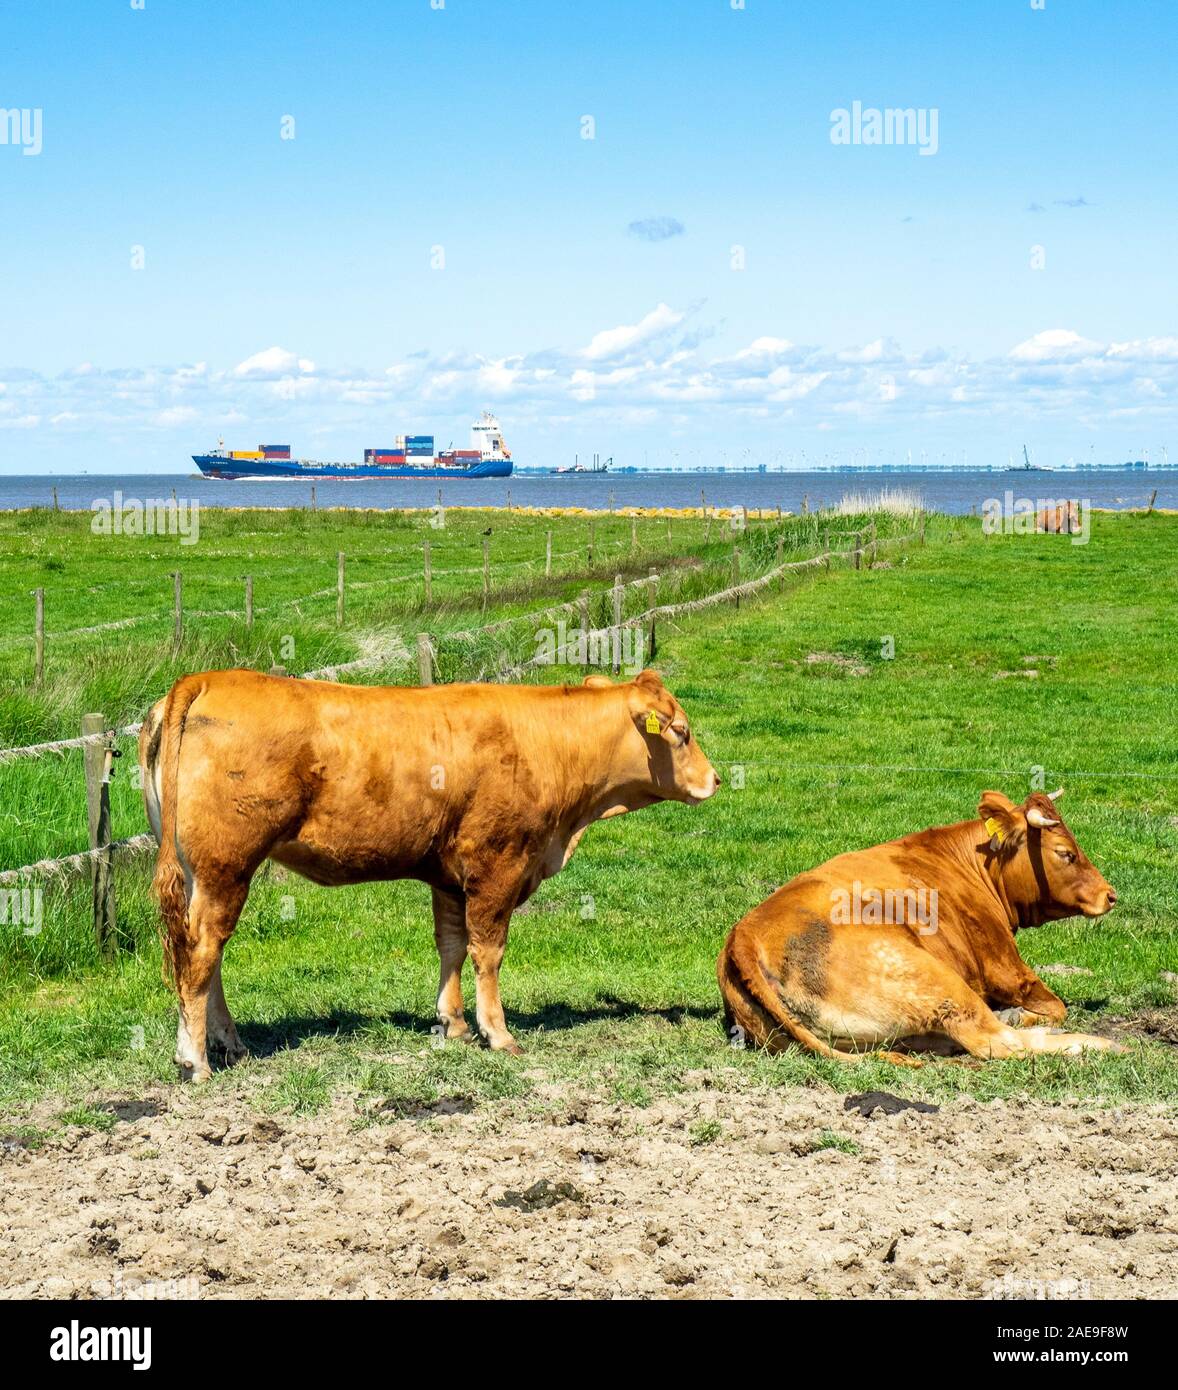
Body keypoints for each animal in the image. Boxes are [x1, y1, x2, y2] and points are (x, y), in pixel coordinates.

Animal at [142, 667, 723, 1078]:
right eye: (682, 732)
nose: (716, 779)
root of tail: (206, 679)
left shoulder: (448, 876)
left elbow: (452, 945)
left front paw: (454, 1023)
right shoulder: (498, 864)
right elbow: (488, 950)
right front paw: (497, 1033)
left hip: (206, 874)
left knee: (204, 953)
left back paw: (229, 1044)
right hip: (225, 866)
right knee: (201, 951)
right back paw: (196, 1059)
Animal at [717, 795, 1123, 1061]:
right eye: (1065, 853)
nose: (1110, 894)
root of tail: (744, 936)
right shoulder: (1006, 968)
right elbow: (1055, 1005)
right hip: (936, 980)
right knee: (997, 1042)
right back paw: (1095, 1043)